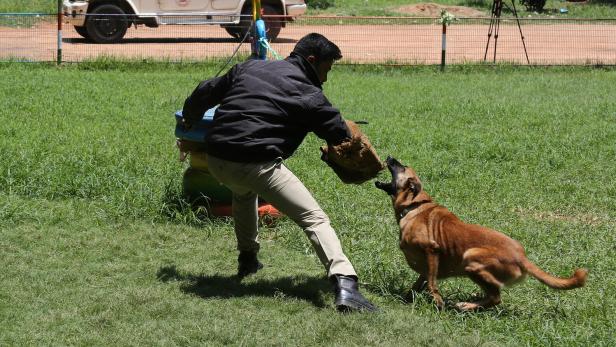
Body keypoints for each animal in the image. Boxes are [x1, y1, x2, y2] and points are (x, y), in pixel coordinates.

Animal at [372, 156, 588, 312]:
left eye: (401, 166)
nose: (389, 157)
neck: (414, 205)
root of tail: (522, 258)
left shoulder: (431, 250)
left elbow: (432, 283)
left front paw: (438, 302)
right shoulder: (426, 265)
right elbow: (420, 282)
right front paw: (407, 297)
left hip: (470, 259)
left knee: (496, 296)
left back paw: (468, 305)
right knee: (493, 294)